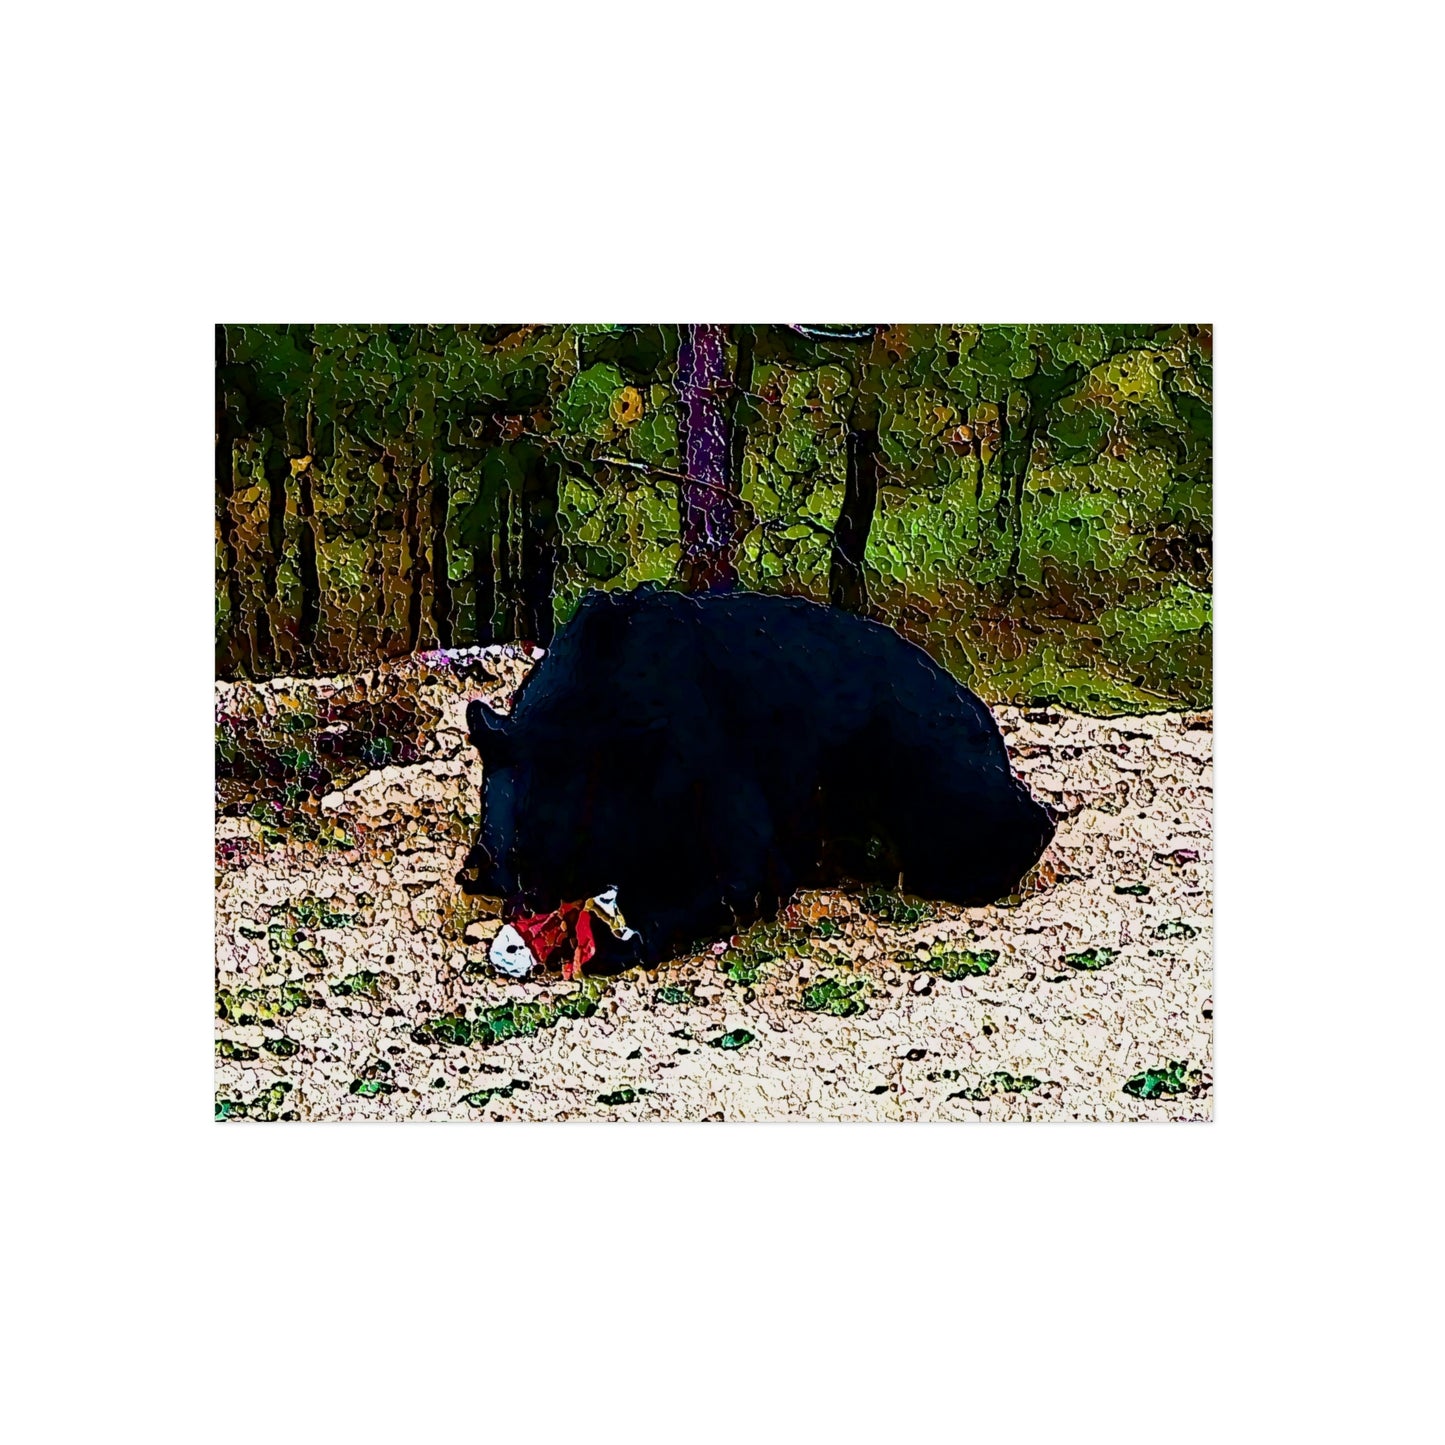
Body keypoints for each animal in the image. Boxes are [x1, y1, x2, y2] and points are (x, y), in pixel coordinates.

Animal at [457, 585, 1055, 970]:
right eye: (516, 860)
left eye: (573, 859)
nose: (528, 911)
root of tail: (978, 707)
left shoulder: (705, 753)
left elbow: (739, 874)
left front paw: (619, 940)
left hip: (915, 758)